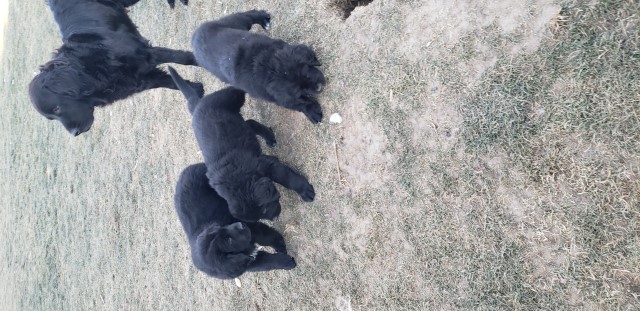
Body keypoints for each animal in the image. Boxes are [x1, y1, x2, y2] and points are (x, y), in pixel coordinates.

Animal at [28, 0, 200, 136]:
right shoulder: (144, 78)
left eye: (57, 108)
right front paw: (197, 91)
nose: (74, 133)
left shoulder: (147, 54)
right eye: (52, 118)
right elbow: (172, 83)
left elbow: (184, 59)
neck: (89, 69)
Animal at [166, 67, 314, 223]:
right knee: (249, 122)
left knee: (238, 90)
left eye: (264, 209)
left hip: (230, 98)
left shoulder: (266, 166)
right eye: (262, 214)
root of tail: (196, 105)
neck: (236, 181)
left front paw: (304, 190)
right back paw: (268, 136)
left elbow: (286, 177)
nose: (275, 217)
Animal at [192, 9, 328, 124]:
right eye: (299, 90)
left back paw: (263, 18)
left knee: (248, 15)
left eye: (307, 73)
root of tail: (194, 37)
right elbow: (296, 103)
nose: (318, 87)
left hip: (235, 23)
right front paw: (311, 111)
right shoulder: (274, 96)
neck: (267, 67)